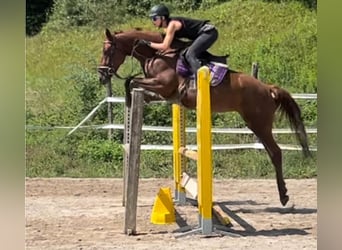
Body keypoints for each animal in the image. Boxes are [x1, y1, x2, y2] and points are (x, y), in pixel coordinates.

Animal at [97, 28, 312, 206]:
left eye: (107, 51)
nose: (102, 76)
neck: (155, 54)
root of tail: (268, 88)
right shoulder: (164, 93)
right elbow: (135, 84)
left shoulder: (163, 85)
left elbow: (131, 81)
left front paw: (129, 101)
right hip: (256, 125)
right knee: (271, 152)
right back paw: (283, 194)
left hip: (260, 124)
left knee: (276, 152)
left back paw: (284, 196)